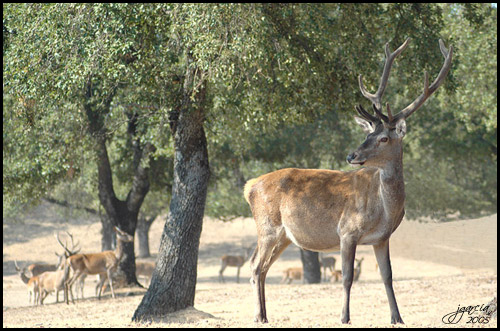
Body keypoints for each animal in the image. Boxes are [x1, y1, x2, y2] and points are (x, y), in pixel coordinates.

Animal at [244, 38, 456, 324]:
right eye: (367, 134)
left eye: (383, 138)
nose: (351, 156)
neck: (385, 210)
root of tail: (249, 186)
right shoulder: (347, 230)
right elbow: (346, 277)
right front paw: (344, 317)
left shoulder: (381, 238)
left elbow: (387, 276)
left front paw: (397, 318)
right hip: (267, 226)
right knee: (255, 265)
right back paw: (259, 316)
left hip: (284, 235)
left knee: (263, 267)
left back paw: (264, 315)